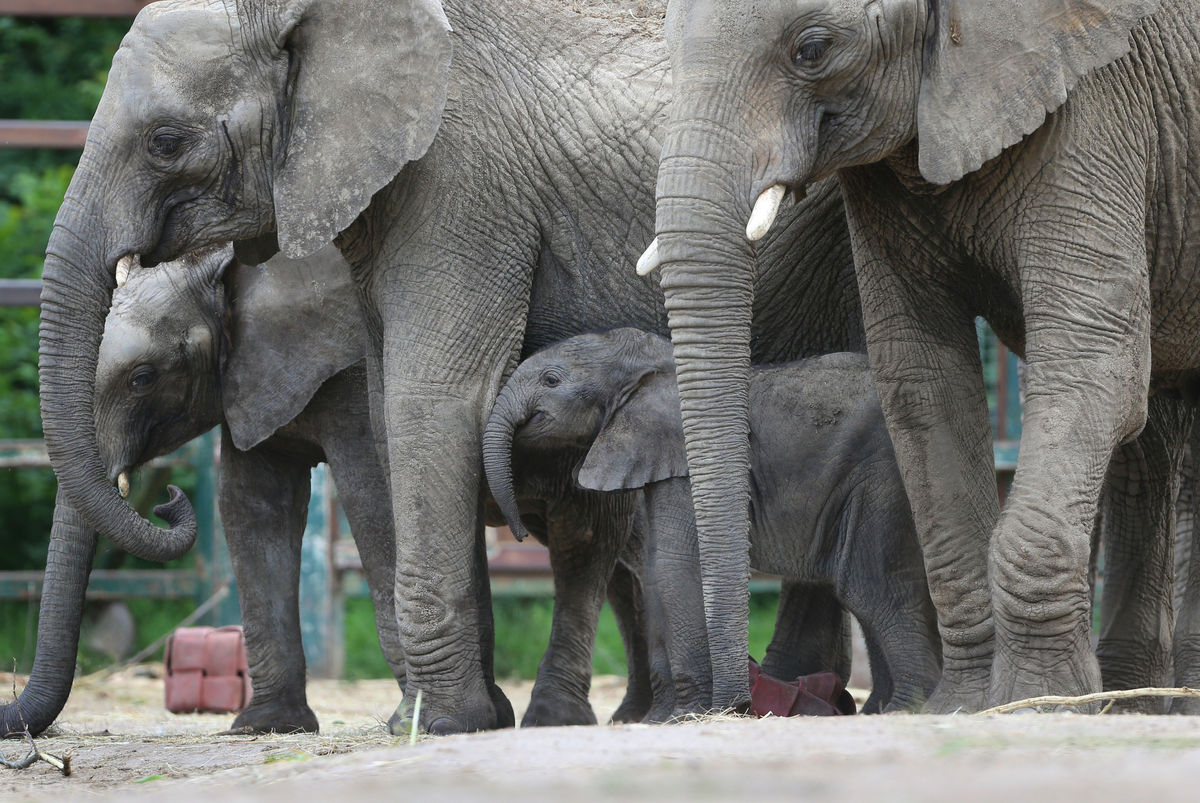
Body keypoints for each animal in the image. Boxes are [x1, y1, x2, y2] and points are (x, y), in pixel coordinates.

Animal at [3, 245, 408, 737]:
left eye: (142, 379)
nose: (169, 498)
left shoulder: (353, 370)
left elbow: (371, 492)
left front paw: (407, 720)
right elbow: (250, 504)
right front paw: (264, 726)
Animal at [484, 328, 941, 716]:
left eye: (551, 380)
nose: (519, 533)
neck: (653, 362)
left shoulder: (685, 460)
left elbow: (674, 566)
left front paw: (691, 714)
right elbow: (653, 571)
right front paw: (663, 719)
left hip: (881, 477)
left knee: (872, 587)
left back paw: (907, 708)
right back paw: (882, 707)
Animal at [638, 0, 1200, 711]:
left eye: (812, 50)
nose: (740, 702)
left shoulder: (1098, 110)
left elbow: (1088, 361)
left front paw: (1038, 700)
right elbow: (924, 385)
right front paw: (966, 704)